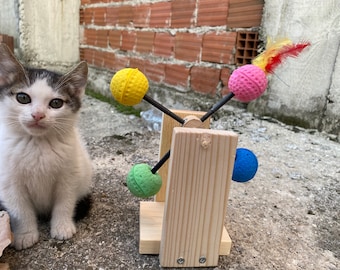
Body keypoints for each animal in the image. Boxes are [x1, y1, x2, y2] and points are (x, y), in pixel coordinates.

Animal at [0, 43, 92, 250]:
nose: (38, 115)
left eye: (56, 103)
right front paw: (25, 235)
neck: (37, 143)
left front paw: (62, 227)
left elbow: (65, 202)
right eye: (23, 98)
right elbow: (20, 209)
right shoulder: (8, 181)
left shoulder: (69, 175)